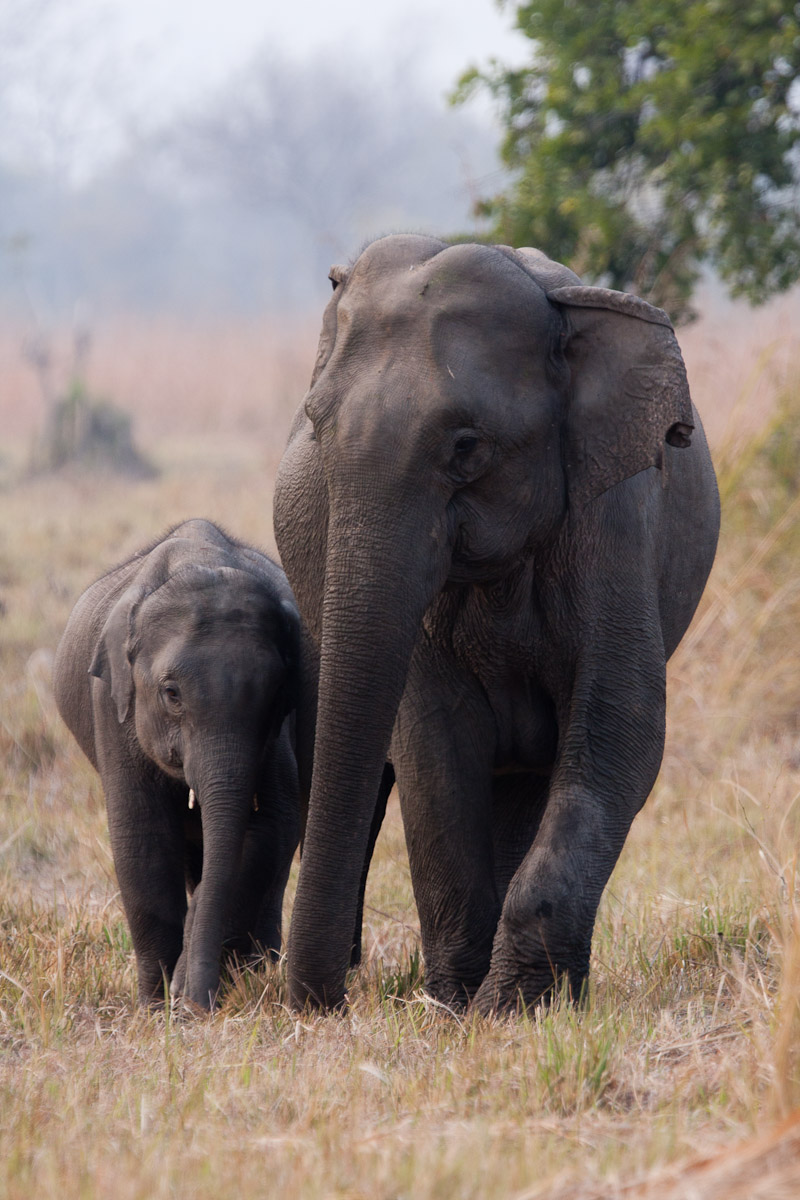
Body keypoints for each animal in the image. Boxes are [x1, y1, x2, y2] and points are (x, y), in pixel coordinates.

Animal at [53, 518, 301, 1010]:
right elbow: (141, 839)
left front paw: (198, 986)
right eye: (171, 693)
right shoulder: (113, 706)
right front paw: (156, 1005)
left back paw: (259, 966)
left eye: (276, 694)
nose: (193, 1004)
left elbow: (273, 825)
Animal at [273, 234, 720, 1015]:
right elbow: (433, 742)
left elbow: (621, 724)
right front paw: (457, 1002)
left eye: (467, 447)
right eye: (316, 428)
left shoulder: (614, 515)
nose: (321, 1006)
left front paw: (512, 1006)